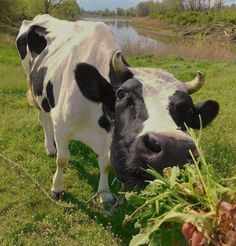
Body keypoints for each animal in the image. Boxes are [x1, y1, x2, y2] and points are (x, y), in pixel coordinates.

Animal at [15, 14, 219, 202]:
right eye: (121, 94)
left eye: (189, 111)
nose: (173, 150)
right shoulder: (62, 126)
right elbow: (62, 159)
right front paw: (57, 189)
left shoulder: (109, 137)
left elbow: (105, 163)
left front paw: (104, 194)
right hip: (33, 87)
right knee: (44, 119)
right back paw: (50, 147)